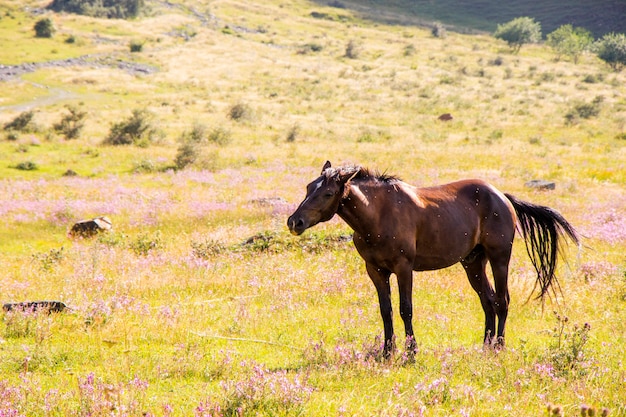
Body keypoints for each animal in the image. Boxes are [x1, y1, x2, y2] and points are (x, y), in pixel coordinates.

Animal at [286, 161, 576, 356]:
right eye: (308, 187)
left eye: (327, 193)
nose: (294, 221)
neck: (377, 216)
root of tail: (502, 197)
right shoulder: (375, 271)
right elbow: (385, 310)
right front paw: (387, 352)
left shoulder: (404, 268)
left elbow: (405, 308)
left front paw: (411, 352)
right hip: (473, 262)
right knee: (488, 301)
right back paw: (485, 346)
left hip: (499, 258)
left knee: (502, 300)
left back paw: (499, 348)